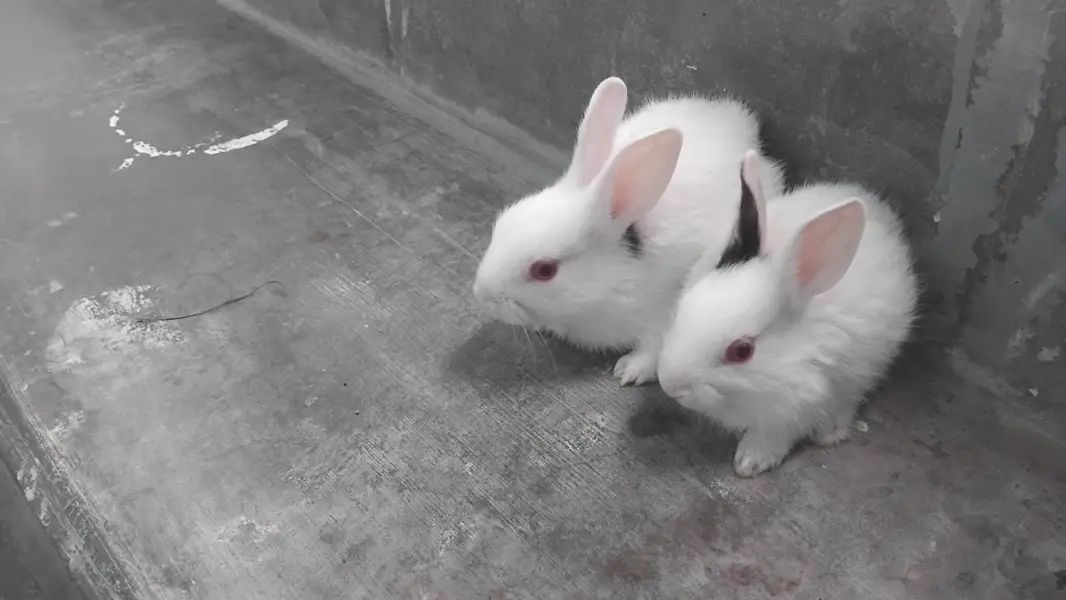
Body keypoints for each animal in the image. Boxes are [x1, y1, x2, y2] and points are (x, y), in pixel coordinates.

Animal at [472, 77, 786, 385]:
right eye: (503, 223)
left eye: (544, 270)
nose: (482, 294)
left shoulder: (665, 312)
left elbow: (652, 348)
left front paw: (629, 372)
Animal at [657, 150, 918, 477]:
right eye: (680, 312)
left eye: (741, 351)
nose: (670, 385)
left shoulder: (798, 407)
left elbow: (774, 435)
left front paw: (750, 462)